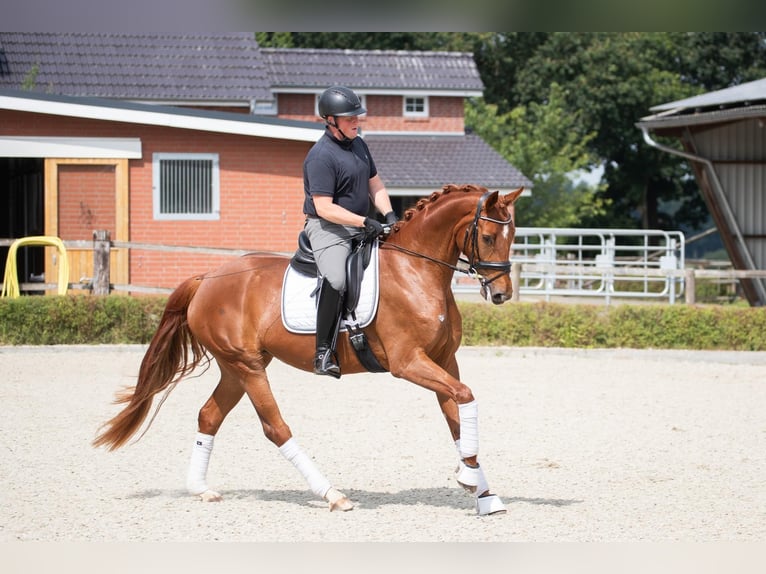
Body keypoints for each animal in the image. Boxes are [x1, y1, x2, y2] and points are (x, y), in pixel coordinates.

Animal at [94, 184, 528, 516]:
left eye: (512, 237)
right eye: (488, 237)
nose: (502, 294)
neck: (416, 271)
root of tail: (208, 277)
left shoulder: (443, 361)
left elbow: (457, 414)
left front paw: (482, 492)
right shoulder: (409, 362)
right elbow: (465, 398)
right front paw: (469, 478)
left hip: (237, 367)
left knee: (209, 415)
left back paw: (201, 488)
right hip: (247, 367)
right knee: (276, 428)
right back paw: (333, 494)